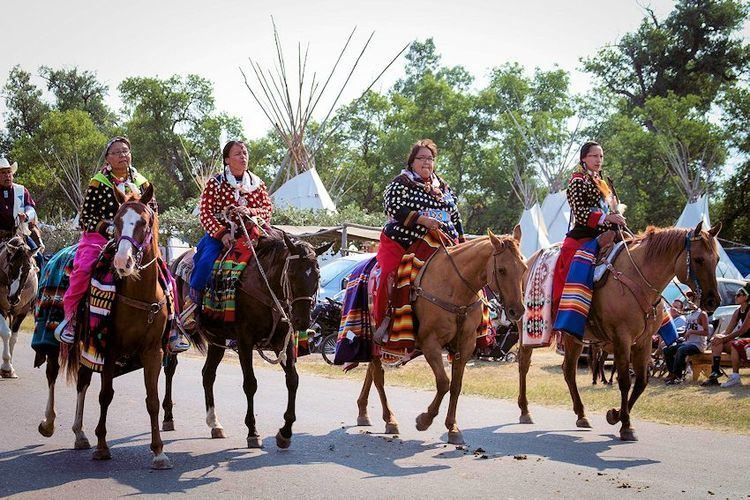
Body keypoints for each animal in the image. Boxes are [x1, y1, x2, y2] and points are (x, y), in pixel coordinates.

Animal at [358, 229, 528, 444]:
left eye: (524, 268)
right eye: (502, 270)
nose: (517, 311)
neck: (455, 287)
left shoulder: (465, 345)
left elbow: (455, 385)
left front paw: (453, 428)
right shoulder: (430, 343)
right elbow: (443, 383)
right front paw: (424, 420)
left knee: (371, 373)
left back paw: (363, 412)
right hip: (375, 339)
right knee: (378, 377)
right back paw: (390, 420)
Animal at [520, 221, 724, 440]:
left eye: (717, 259)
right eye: (698, 259)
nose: (713, 301)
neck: (639, 278)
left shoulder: (643, 342)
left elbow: (641, 381)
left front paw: (615, 415)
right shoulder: (622, 339)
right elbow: (625, 380)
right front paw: (626, 426)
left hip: (572, 337)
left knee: (568, 371)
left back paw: (581, 415)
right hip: (528, 330)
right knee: (524, 365)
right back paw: (525, 411)